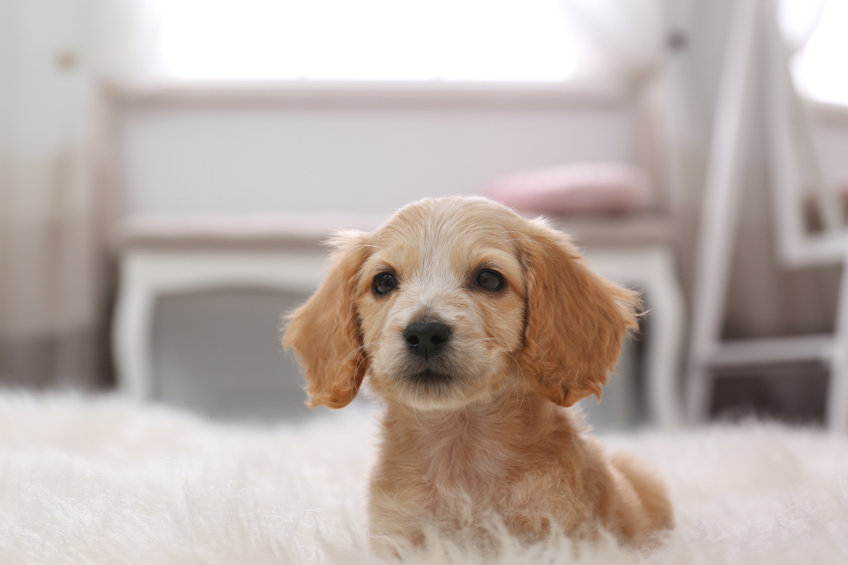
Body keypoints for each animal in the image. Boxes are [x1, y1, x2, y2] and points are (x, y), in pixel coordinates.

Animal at [282, 195, 672, 552]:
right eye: (384, 282)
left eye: (488, 279)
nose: (424, 333)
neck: (461, 446)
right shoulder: (398, 538)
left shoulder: (557, 535)